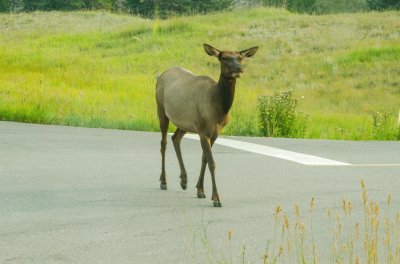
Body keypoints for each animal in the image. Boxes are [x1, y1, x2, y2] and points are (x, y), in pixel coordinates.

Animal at [155, 43, 258, 206]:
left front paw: (200, 190)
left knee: (175, 138)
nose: (238, 68)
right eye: (224, 57)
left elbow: (204, 158)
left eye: (240, 57)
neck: (218, 107)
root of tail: (161, 76)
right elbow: (212, 162)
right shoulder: (203, 130)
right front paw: (216, 198)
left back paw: (184, 180)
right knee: (163, 143)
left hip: (185, 123)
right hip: (161, 109)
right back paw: (163, 181)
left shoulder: (214, 132)